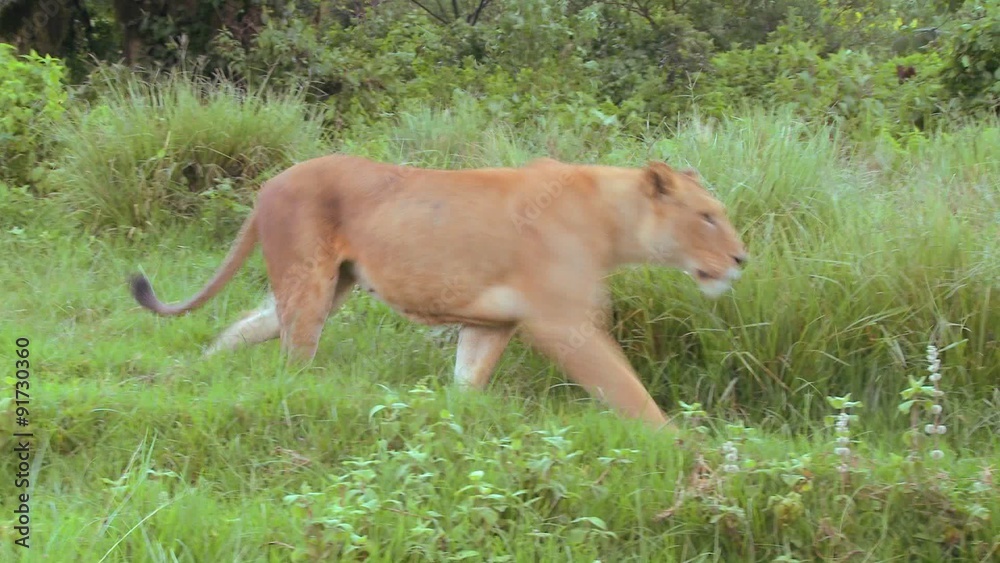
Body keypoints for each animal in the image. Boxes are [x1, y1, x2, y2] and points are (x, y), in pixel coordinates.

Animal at [129, 154, 747, 429]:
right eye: (707, 217)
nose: (742, 259)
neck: (614, 220)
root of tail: (267, 187)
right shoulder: (563, 324)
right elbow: (628, 391)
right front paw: (686, 450)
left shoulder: (491, 324)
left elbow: (466, 385)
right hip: (309, 283)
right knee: (292, 360)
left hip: (328, 286)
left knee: (242, 329)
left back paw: (187, 376)